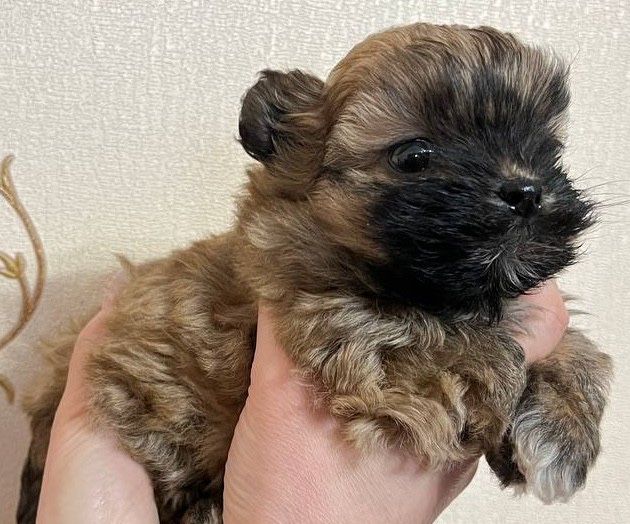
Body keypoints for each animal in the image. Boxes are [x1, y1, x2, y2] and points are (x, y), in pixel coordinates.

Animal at [17, 23, 612, 523]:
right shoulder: (351, 330)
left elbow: (576, 347)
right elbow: (474, 345)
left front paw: (563, 426)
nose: (526, 191)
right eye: (414, 156)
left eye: (546, 150)